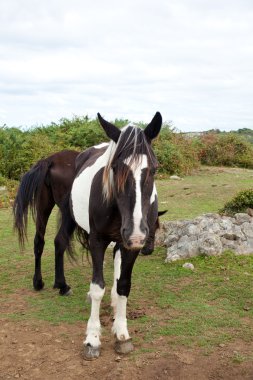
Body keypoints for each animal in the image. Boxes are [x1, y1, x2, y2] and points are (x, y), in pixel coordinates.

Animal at [65, 111, 163, 358]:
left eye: (154, 169)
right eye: (115, 168)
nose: (136, 233)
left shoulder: (131, 246)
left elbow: (123, 285)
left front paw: (122, 333)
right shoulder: (97, 240)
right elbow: (97, 287)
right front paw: (92, 338)